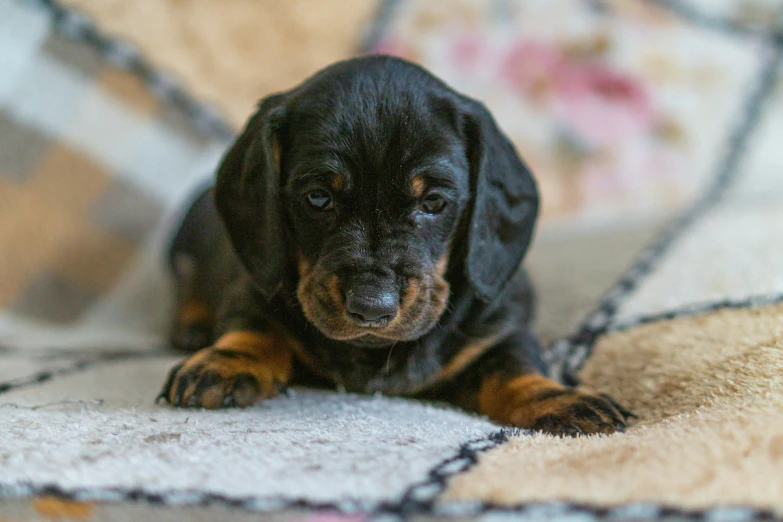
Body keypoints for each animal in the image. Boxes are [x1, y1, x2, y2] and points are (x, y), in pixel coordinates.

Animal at [159, 54, 632, 432]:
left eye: (434, 201)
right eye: (318, 197)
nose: (371, 306)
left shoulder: (502, 324)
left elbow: (513, 364)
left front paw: (556, 397)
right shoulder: (252, 289)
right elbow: (254, 325)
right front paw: (225, 361)